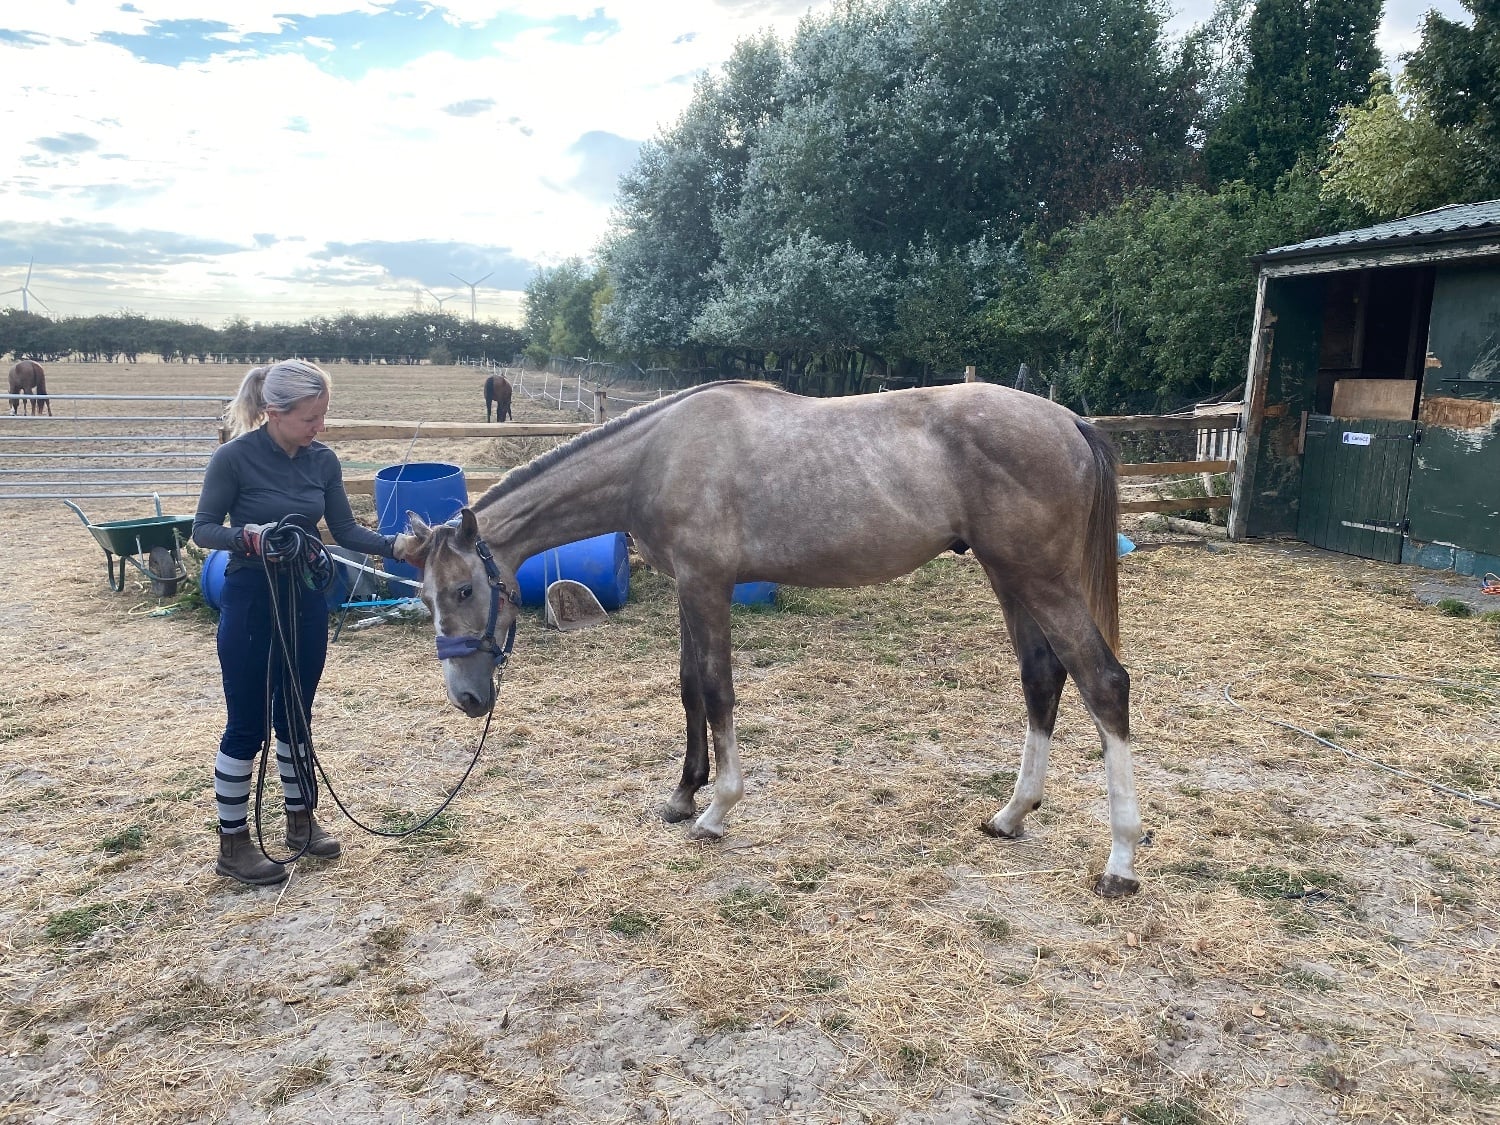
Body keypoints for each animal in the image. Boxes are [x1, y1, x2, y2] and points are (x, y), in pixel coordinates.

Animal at [401, 380, 1143, 897]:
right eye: (424, 597)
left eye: (464, 590)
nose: (467, 698)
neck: (659, 454)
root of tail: (1068, 421)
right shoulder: (688, 588)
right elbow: (689, 687)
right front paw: (684, 793)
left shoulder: (708, 584)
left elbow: (718, 690)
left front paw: (717, 808)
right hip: (1008, 575)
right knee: (1043, 678)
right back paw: (1010, 815)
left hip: (1039, 578)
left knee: (1104, 682)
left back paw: (1120, 861)